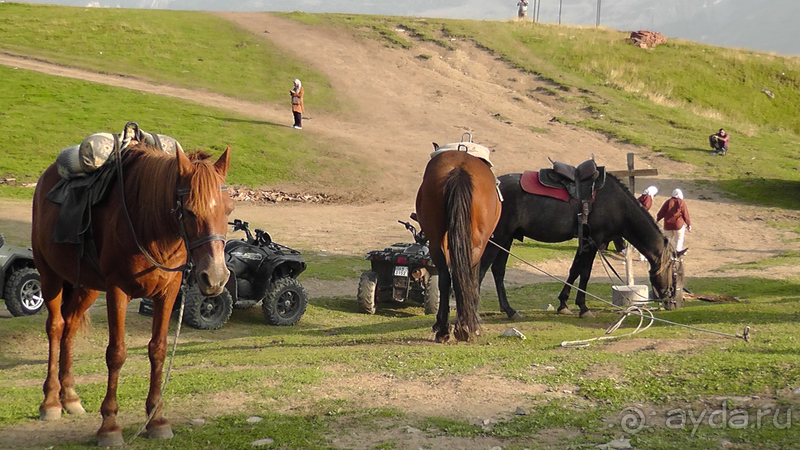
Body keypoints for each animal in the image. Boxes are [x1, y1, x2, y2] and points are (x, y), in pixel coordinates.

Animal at [31, 142, 231, 444]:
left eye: (229, 210)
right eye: (189, 211)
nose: (216, 277)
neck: (149, 226)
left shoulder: (168, 293)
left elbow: (158, 350)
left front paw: (157, 418)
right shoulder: (117, 291)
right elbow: (116, 354)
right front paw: (110, 426)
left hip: (87, 287)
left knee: (70, 328)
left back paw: (70, 397)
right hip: (50, 276)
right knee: (56, 327)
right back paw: (51, 401)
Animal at [416, 150, 504, 342]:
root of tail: (459, 169)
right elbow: (474, 279)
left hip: (436, 242)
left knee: (445, 278)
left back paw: (445, 329)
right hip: (476, 245)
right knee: (463, 277)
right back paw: (463, 327)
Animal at [478, 172, 684, 320]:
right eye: (675, 274)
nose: (675, 303)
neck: (617, 204)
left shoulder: (584, 242)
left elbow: (574, 270)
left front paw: (563, 304)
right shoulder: (593, 241)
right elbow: (585, 273)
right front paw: (583, 307)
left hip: (507, 238)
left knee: (498, 271)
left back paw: (509, 310)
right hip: (499, 237)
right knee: (482, 269)